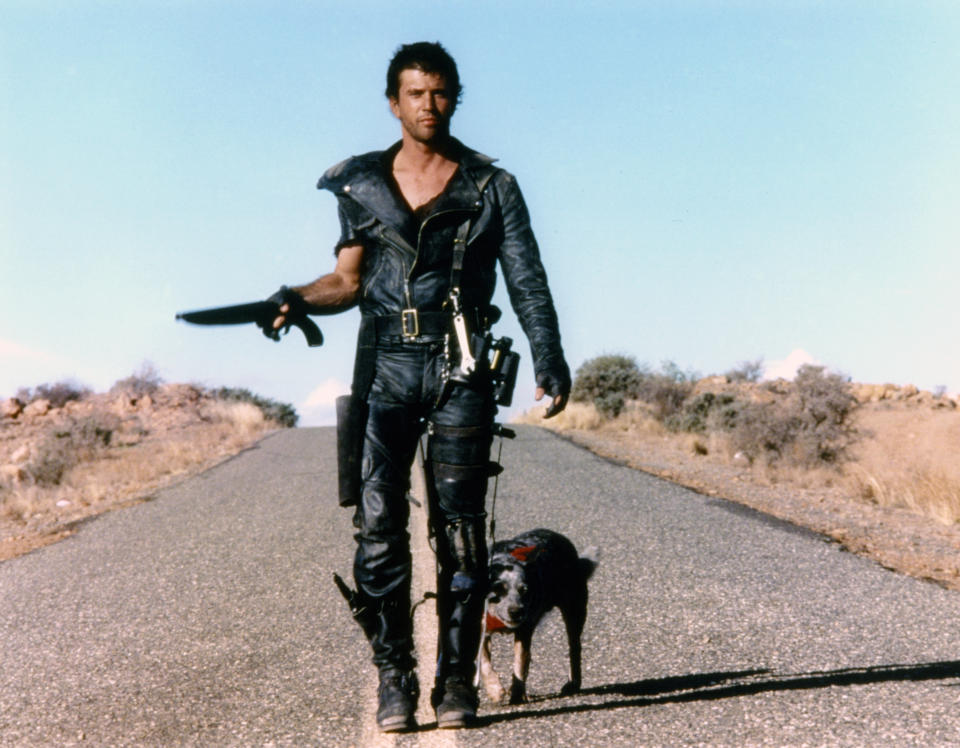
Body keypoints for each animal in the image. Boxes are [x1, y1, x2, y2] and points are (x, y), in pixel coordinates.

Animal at [476, 528, 596, 704]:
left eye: (524, 590)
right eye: (497, 589)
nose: (516, 611)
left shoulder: (524, 631)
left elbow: (519, 663)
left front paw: (517, 694)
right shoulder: (481, 630)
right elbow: (484, 664)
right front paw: (495, 690)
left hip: (574, 610)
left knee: (574, 648)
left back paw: (573, 683)